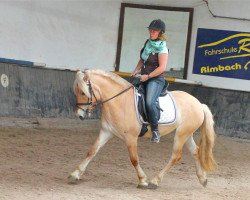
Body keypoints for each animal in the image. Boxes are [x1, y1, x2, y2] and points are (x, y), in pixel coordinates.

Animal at [69, 69, 217, 189]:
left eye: (83, 92)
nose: (79, 115)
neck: (120, 101)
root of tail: (199, 104)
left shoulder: (131, 137)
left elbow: (134, 159)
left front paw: (143, 180)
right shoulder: (107, 131)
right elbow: (92, 151)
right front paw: (75, 174)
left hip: (181, 134)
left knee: (176, 156)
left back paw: (155, 181)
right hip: (187, 134)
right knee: (195, 151)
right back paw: (203, 179)